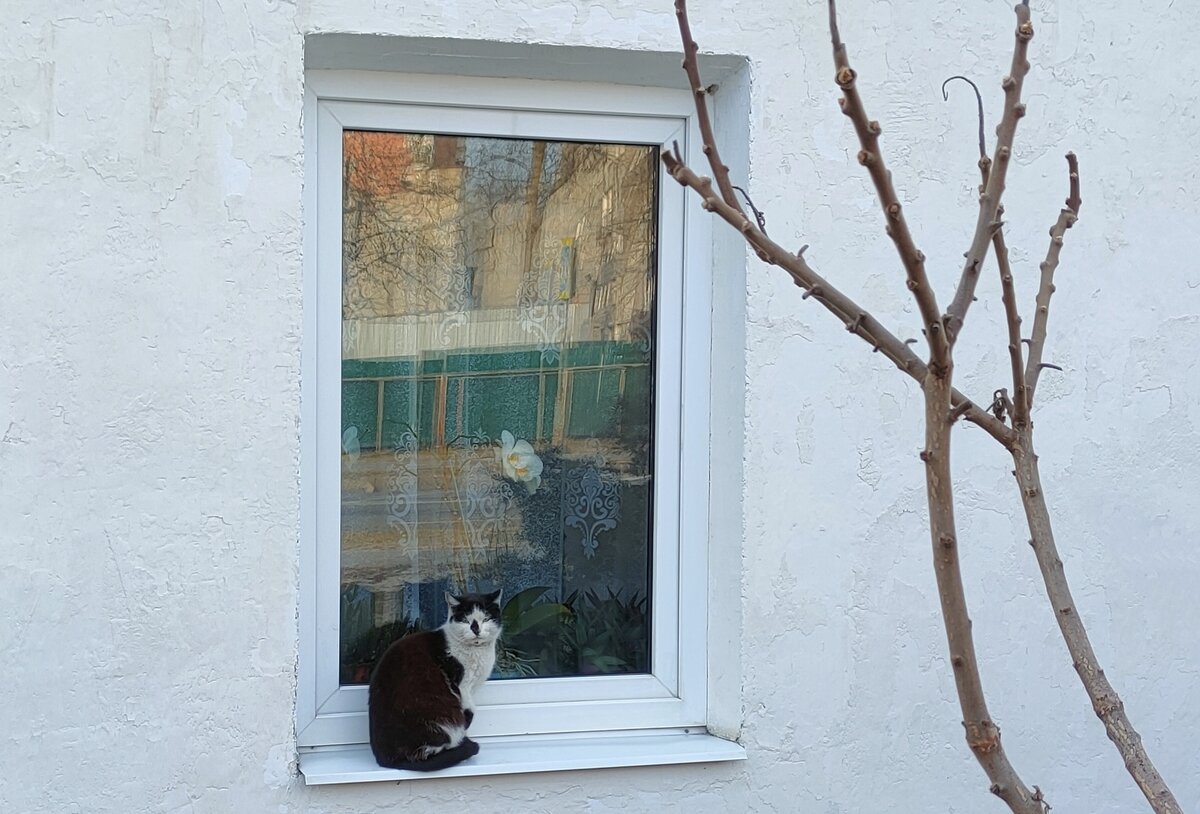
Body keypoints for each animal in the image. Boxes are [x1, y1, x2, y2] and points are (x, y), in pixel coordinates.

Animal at [368, 589, 503, 771]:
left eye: (486, 619)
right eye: (465, 620)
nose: (476, 629)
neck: (477, 652)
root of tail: (387, 759)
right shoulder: (462, 686)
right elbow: (469, 711)